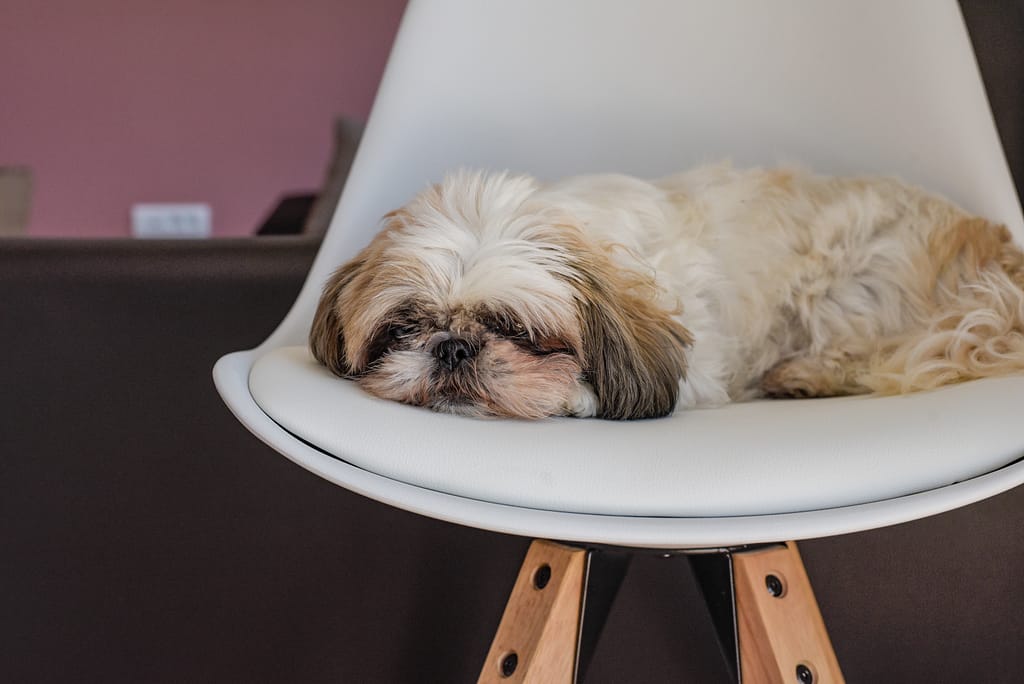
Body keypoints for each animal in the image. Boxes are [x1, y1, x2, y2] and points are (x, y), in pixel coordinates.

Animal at [307, 167, 1024, 419]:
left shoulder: (698, 363)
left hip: (851, 284)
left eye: (518, 332)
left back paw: (804, 376)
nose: (453, 347)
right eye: (404, 327)